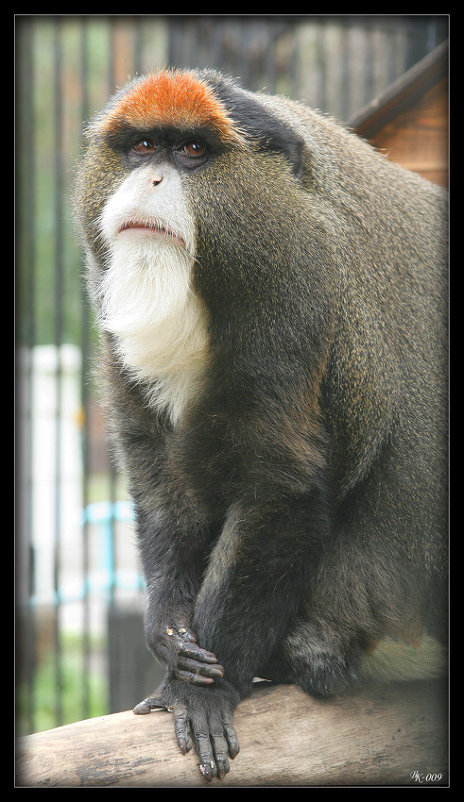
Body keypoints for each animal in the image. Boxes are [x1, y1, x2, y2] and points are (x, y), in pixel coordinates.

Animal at [75, 65, 446, 780]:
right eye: (142, 147)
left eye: (192, 152)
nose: (152, 179)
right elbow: (159, 476)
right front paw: (169, 631)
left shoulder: (294, 296)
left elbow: (283, 490)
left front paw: (205, 693)